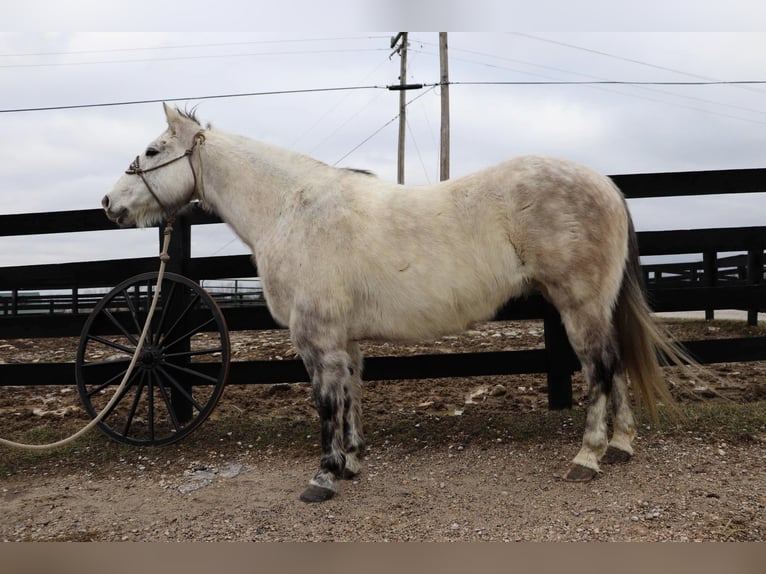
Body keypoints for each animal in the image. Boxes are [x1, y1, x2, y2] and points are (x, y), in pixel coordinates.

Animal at [102, 103, 696, 504]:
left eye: (152, 152)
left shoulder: (315, 339)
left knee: (600, 370)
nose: (109, 203)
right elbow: (351, 399)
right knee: (615, 366)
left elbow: (326, 405)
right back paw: (620, 447)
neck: (292, 211)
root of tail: (606, 185)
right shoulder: (344, 341)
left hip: (579, 307)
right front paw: (352, 463)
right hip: (595, 307)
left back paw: (587, 457)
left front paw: (323, 477)